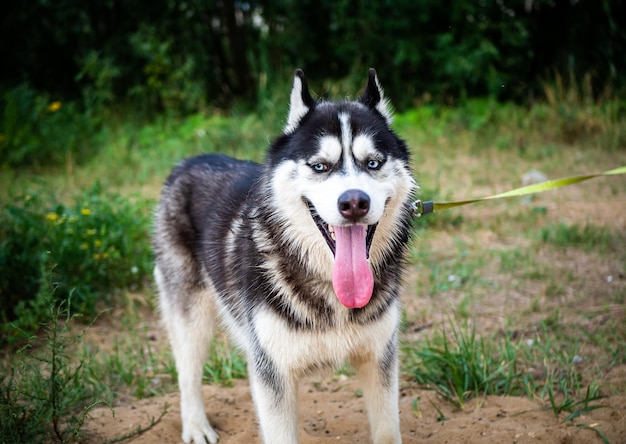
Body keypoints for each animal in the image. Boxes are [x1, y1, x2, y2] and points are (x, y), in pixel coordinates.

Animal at [152, 67, 414, 442]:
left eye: (373, 163)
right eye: (320, 166)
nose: (354, 203)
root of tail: (189, 161)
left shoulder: (379, 359)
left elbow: (388, 431)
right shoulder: (271, 371)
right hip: (191, 315)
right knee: (188, 371)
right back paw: (196, 426)